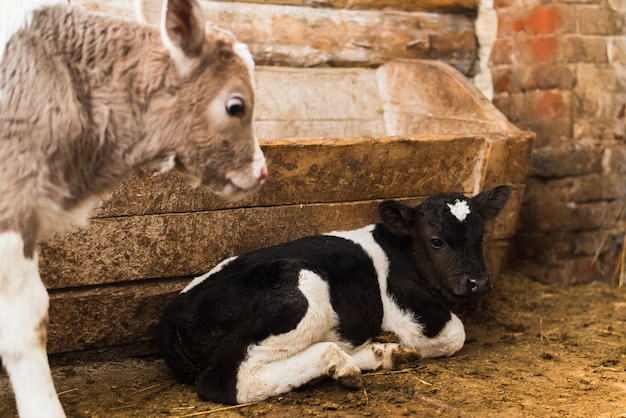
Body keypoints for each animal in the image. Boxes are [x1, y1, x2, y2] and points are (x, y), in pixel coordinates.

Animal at [158, 185, 510, 404]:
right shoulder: (407, 304)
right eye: (436, 241)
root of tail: (171, 313)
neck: (400, 249)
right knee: (223, 380)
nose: (478, 282)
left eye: (481, 236)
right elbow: (455, 334)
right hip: (301, 291)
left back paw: (380, 355)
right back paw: (337, 361)